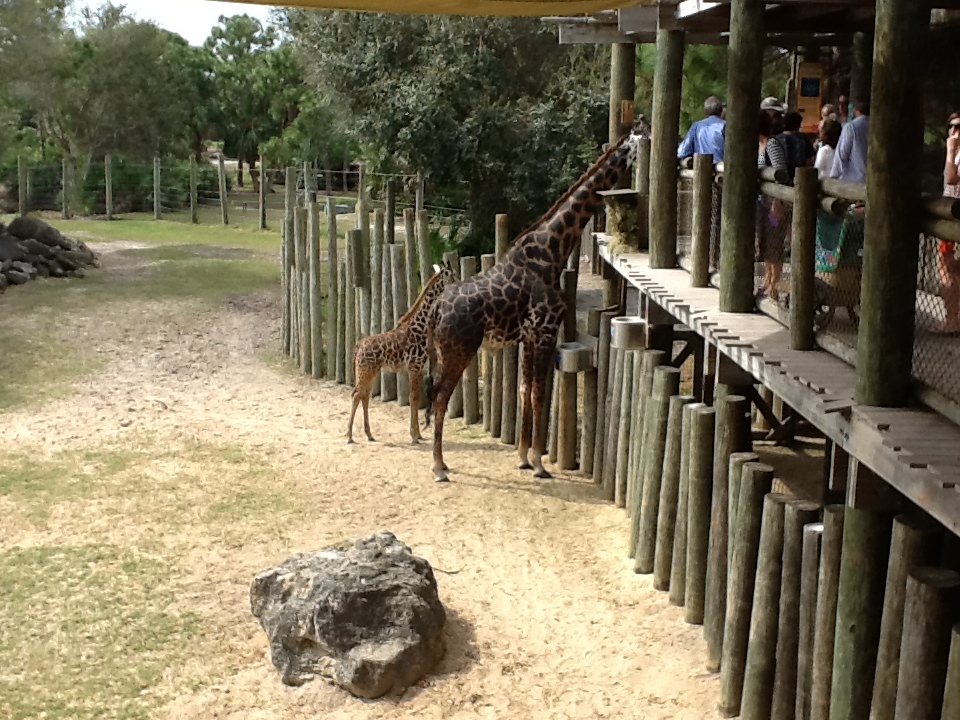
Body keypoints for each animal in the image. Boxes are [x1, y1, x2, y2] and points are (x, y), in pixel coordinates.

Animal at [347, 261, 457, 445]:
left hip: (369, 372)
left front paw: (418, 434)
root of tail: (358, 347)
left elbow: (415, 399)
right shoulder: (414, 367)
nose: (459, 285)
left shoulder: (415, 369)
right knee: (357, 395)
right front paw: (415, 436)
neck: (420, 328)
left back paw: (369, 434)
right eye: (453, 276)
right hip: (366, 371)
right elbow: (414, 399)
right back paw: (349, 436)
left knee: (364, 396)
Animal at [425, 128, 648, 482]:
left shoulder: (529, 337)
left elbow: (525, 391)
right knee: (439, 398)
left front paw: (524, 458)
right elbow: (541, 394)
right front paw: (541, 466)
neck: (553, 249)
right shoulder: (545, 332)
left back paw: (443, 463)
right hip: (460, 350)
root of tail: (436, 310)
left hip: (442, 352)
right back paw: (438, 467)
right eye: (640, 142)